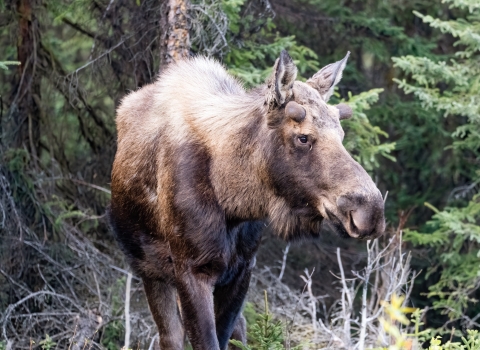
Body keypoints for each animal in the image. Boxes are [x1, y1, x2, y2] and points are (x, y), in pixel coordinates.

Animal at [109, 50, 386, 350]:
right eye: (303, 137)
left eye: (342, 135)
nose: (370, 210)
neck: (233, 202)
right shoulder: (190, 270)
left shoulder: (243, 268)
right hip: (149, 268)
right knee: (170, 336)